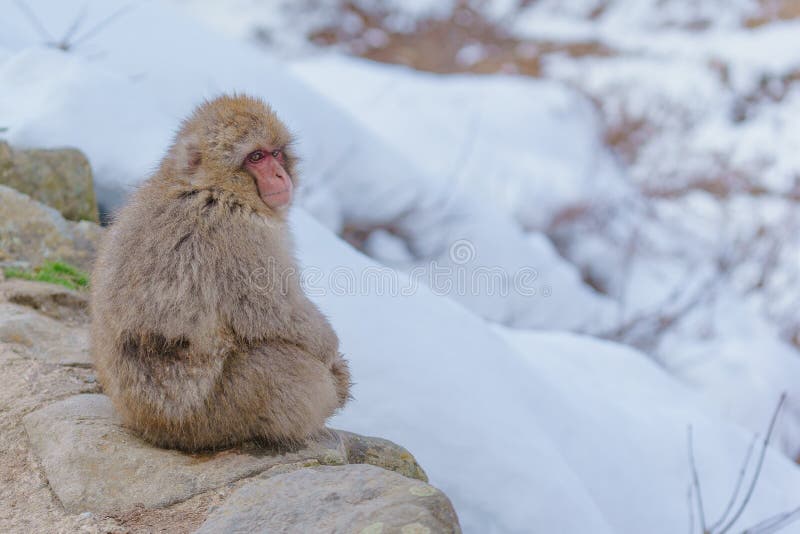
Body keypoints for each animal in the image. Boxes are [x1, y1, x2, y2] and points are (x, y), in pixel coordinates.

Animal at [90, 94, 351, 451]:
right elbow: (271, 313)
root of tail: (146, 426)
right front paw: (333, 356)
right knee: (289, 369)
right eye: (256, 157)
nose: (280, 175)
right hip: (213, 416)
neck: (208, 185)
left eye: (275, 153)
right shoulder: (238, 232)